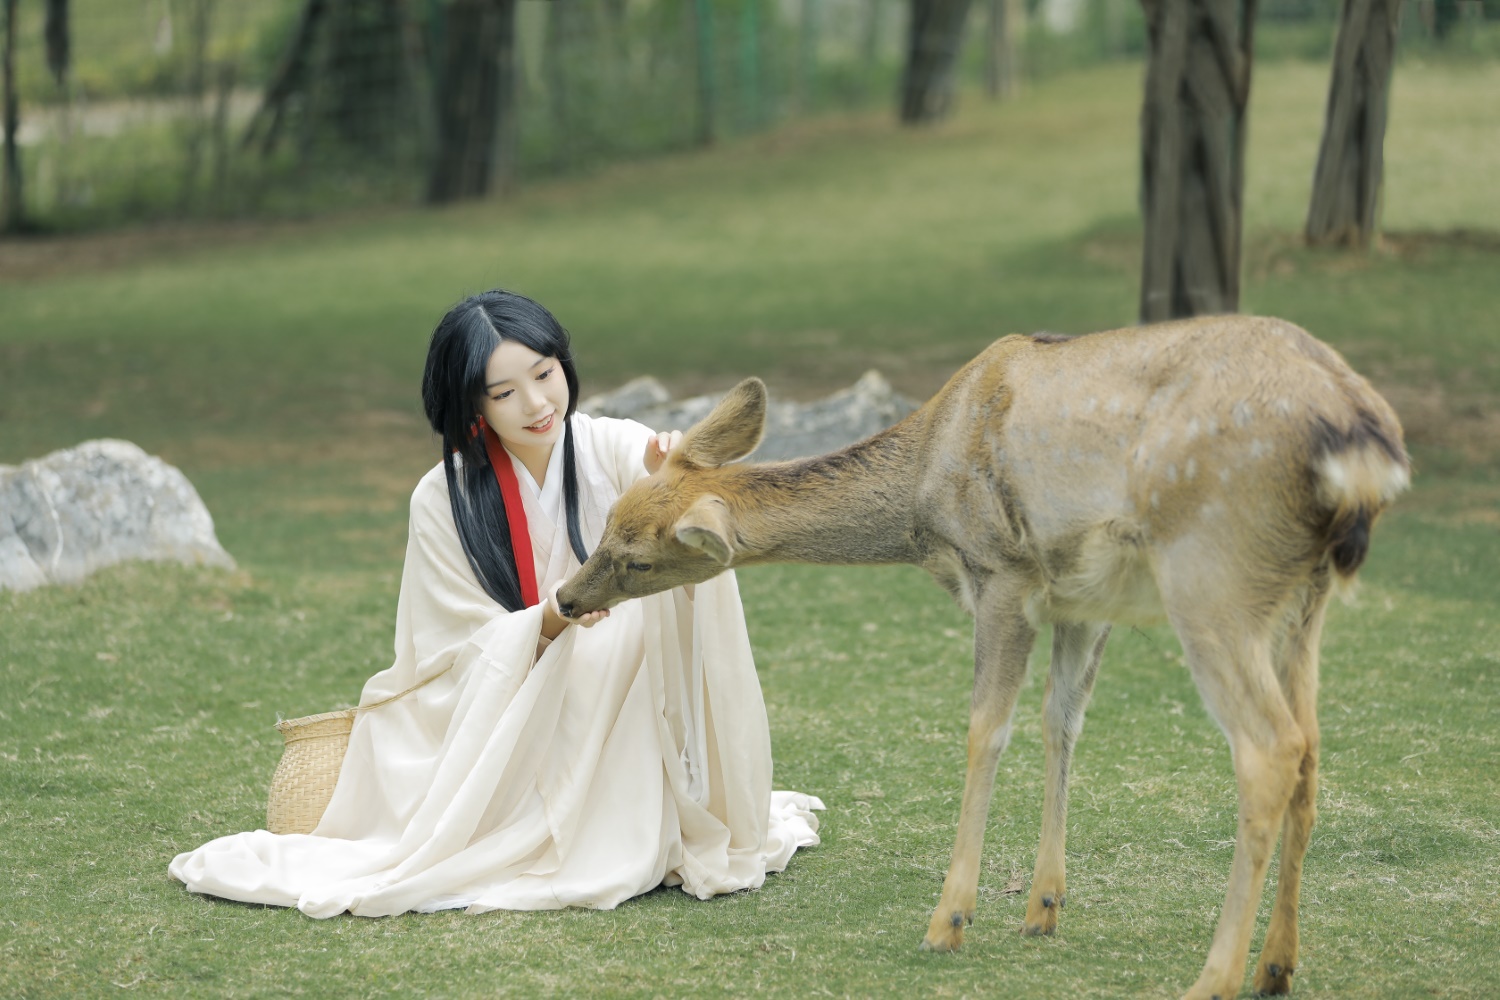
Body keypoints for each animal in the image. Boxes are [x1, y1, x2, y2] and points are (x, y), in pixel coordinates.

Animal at [555, 314, 1408, 1000]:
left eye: (635, 557)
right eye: (608, 520)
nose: (565, 597)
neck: (923, 495)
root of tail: (1362, 438)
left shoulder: (1003, 573)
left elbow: (983, 731)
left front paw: (950, 919)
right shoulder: (1081, 602)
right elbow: (1062, 722)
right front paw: (1042, 908)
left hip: (1211, 575)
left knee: (1270, 748)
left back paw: (1214, 977)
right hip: (1302, 600)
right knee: (1312, 750)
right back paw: (1277, 964)